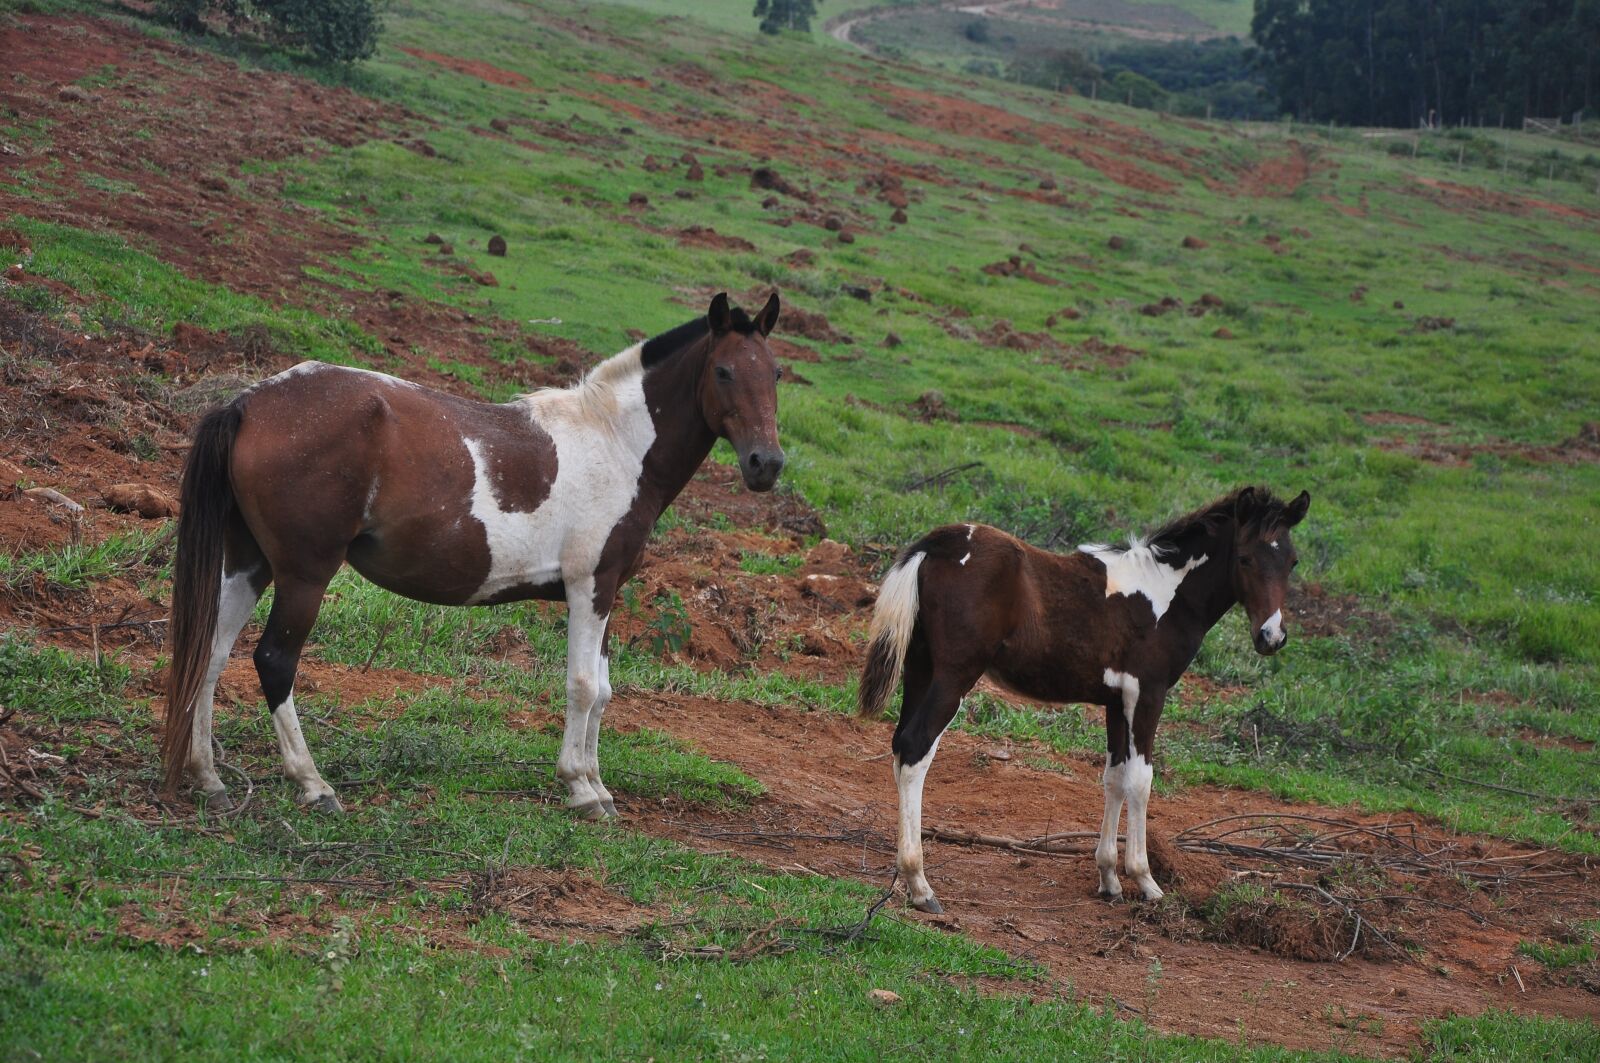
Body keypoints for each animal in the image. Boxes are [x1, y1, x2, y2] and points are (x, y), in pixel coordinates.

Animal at [161, 292, 785, 818]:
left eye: (775, 373)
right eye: (724, 371)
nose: (767, 465)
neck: (614, 442)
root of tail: (250, 402)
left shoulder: (607, 592)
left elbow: (604, 691)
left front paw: (599, 785)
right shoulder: (590, 585)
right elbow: (583, 686)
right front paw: (581, 789)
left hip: (249, 564)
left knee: (210, 654)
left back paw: (208, 777)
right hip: (303, 574)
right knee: (274, 661)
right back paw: (313, 784)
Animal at [857, 486, 1310, 912]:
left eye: (1291, 562)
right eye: (1246, 559)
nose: (1271, 637)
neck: (1166, 596)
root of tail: (938, 542)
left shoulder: (1116, 700)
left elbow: (1114, 776)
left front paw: (1109, 878)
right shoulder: (1147, 693)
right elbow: (1141, 780)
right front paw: (1145, 880)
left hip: (920, 668)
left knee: (899, 745)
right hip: (955, 674)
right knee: (917, 748)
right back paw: (920, 885)